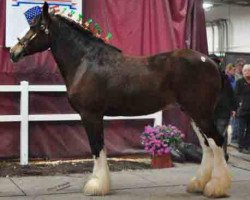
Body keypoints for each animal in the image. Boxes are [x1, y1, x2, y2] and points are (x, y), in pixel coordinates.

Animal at [10, 2, 231, 198]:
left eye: (36, 27)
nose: (14, 52)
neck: (86, 62)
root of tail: (211, 61)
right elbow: (99, 148)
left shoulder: (91, 115)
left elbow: (97, 148)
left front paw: (96, 185)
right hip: (193, 113)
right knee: (207, 145)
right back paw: (199, 184)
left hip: (200, 113)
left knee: (217, 142)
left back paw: (215, 188)